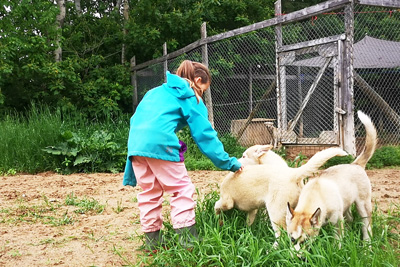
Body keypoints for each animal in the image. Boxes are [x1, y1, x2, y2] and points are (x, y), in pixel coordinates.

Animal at [214, 144, 348, 243]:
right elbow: (250, 220)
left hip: (276, 213)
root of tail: (294, 174)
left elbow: (217, 206)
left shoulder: (227, 201)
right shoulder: (254, 208)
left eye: (244, 156)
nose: (236, 162)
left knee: (281, 236)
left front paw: (217, 220)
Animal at [286, 110, 376, 252]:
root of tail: (355, 164)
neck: (316, 194)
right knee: (350, 218)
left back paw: (367, 248)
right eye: (292, 239)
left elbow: (337, 241)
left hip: (363, 207)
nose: (298, 256)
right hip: (346, 205)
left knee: (367, 227)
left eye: (306, 240)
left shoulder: (337, 223)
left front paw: (337, 251)